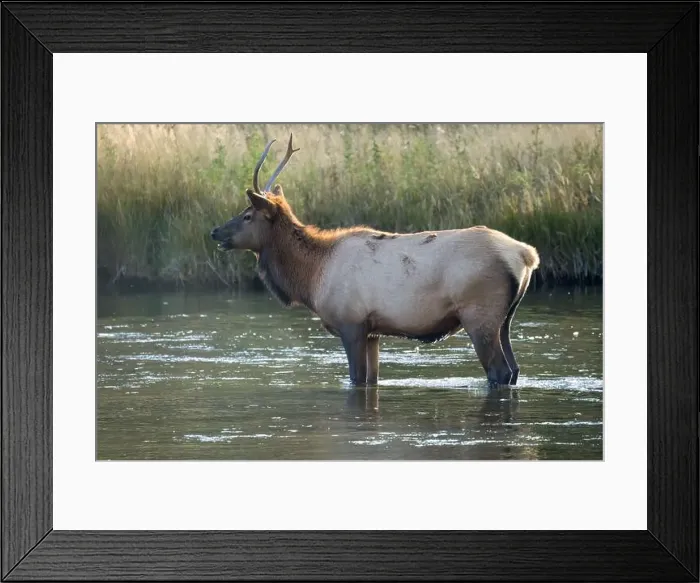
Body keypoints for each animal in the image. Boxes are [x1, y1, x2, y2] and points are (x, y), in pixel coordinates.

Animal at [211, 134, 540, 388]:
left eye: (247, 215)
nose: (215, 231)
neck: (312, 278)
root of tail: (527, 255)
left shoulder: (351, 323)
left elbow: (356, 379)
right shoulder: (372, 331)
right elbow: (371, 379)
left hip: (479, 313)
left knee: (499, 371)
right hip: (505, 318)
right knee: (513, 370)